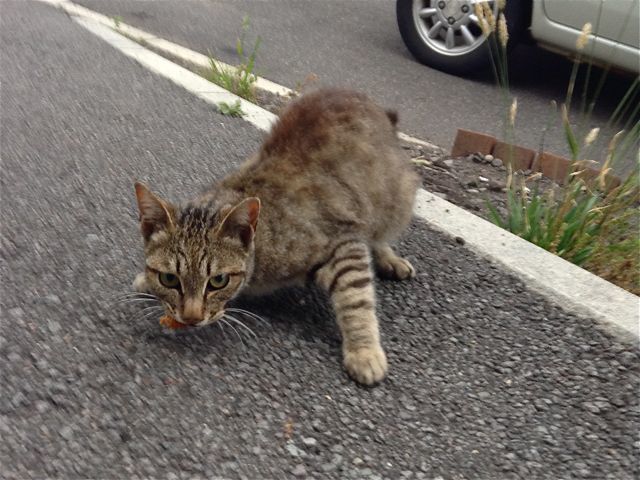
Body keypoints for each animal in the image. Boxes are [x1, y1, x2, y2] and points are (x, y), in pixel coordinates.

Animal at [132, 88, 418, 384]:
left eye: (218, 281)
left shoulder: (342, 244)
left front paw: (364, 351)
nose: (191, 318)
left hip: (396, 200)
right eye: (168, 279)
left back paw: (389, 258)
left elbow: (356, 299)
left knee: (379, 235)